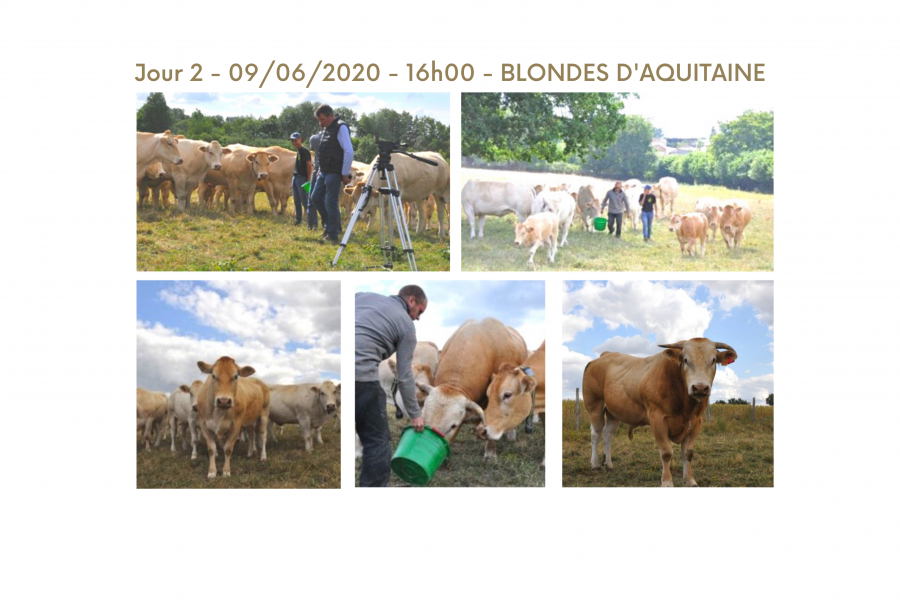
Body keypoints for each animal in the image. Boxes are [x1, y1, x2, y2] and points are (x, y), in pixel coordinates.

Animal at [584, 338, 740, 488]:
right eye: (685, 360)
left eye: (713, 360)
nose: (700, 388)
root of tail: (604, 355)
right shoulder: (657, 419)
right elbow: (666, 453)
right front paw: (667, 482)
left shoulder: (696, 422)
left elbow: (688, 452)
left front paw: (690, 480)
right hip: (595, 406)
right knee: (596, 433)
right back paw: (595, 464)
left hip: (614, 412)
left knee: (607, 435)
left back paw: (608, 464)